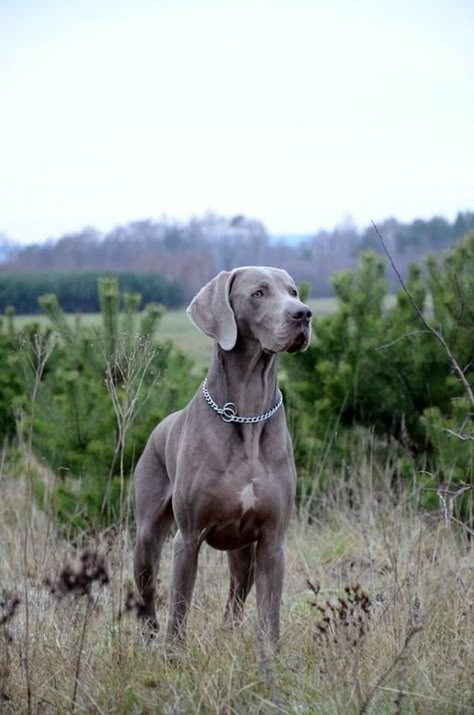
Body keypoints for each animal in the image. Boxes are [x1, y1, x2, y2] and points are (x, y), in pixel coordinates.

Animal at [132, 266, 312, 648]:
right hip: (146, 538)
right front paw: (172, 655)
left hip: (243, 552)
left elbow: (269, 614)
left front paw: (270, 655)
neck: (248, 415)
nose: (303, 314)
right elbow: (179, 608)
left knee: (236, 599)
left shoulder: (272, 540)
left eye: (293, 291)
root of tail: (158, 428)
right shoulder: (188, 538)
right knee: (148, 593)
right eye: (258, 293)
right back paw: (149, 638)